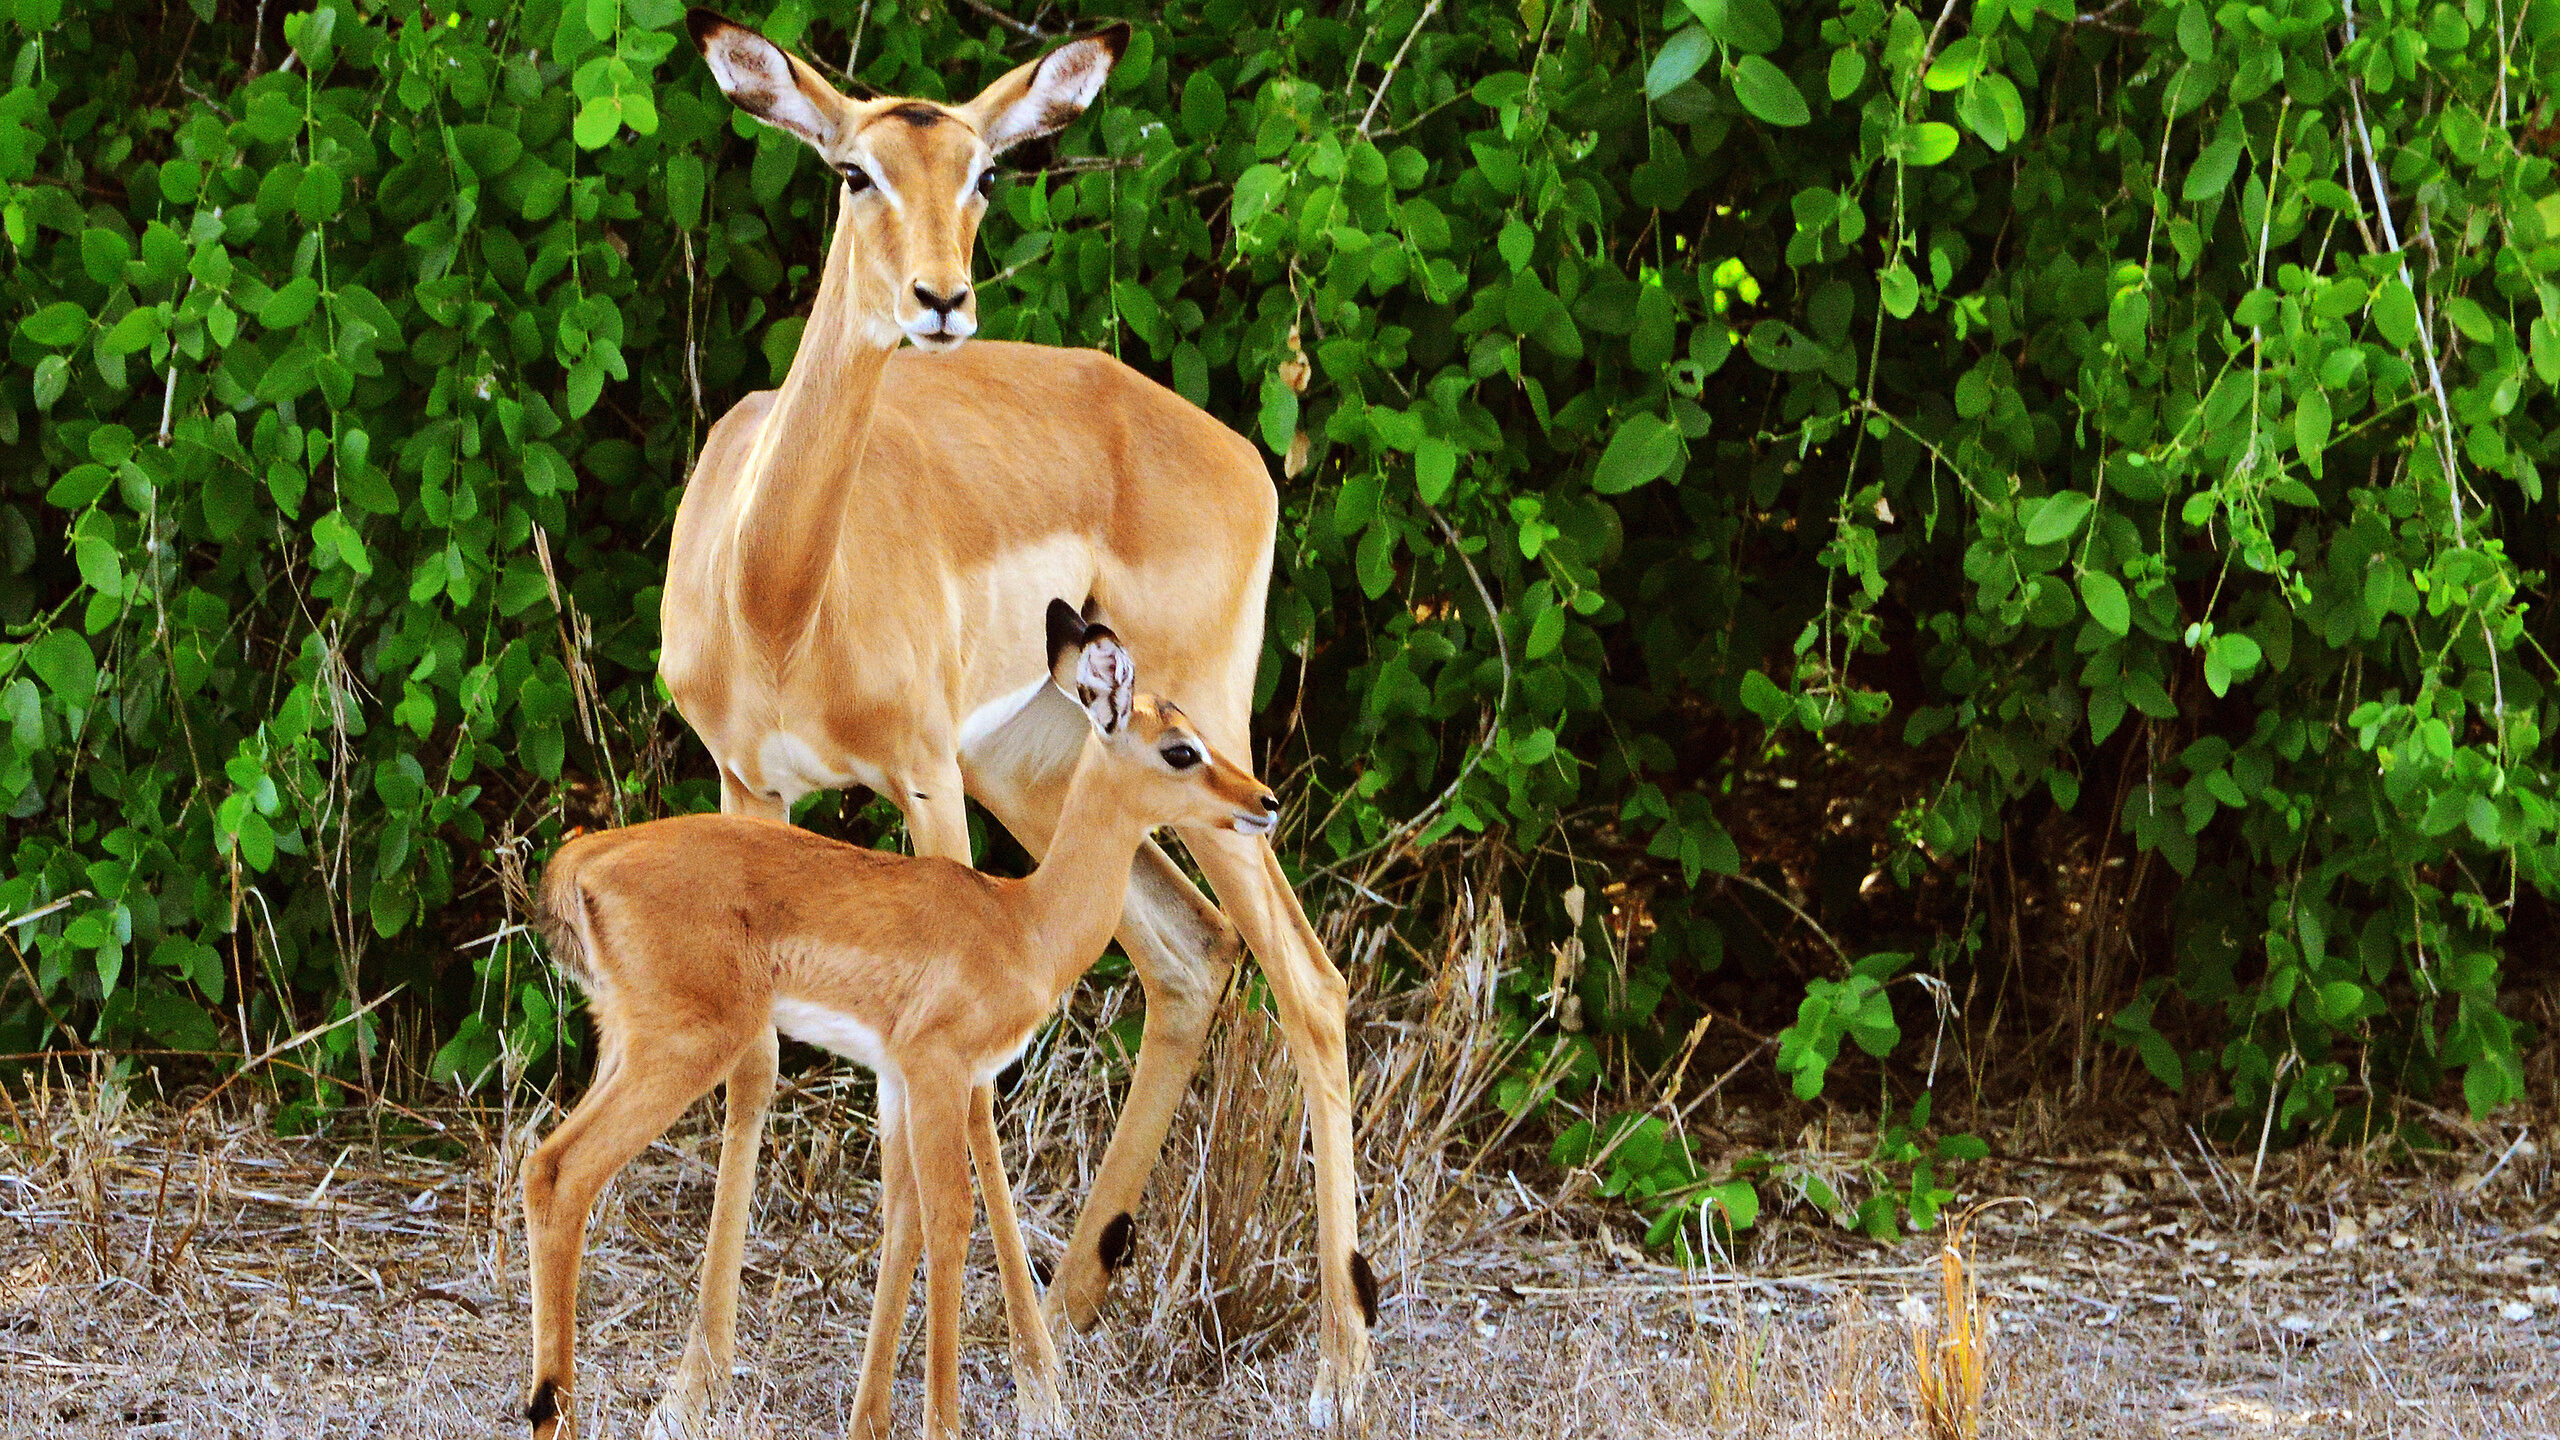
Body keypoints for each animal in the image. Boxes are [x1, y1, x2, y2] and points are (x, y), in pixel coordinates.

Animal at [524, 606, 1283, 1439]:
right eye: (1180, 750)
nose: (1264, 801)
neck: (1021, 923)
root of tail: (587, 860)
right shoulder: (939, 1068)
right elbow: (951, 1221)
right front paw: (944, 1420)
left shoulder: (895, 1080)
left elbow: (903, 1222)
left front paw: (872, 1420)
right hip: (684, 1046)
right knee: (563, 1171)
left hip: (627, 1044)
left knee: (540, 1168)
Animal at [660, 10, 1375, 1426]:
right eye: (852, 171)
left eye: (985, 171)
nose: (941, 303)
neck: (776, 596)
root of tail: (1231, 449)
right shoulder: (746, 783)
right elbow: (762, 1063)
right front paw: (693, 1382)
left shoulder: (924, 783)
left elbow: (959, 1100)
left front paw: (1029, 1391)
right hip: (1053, 763)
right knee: (1190, 953)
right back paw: (1077, 1295)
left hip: (1199, 754)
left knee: (1308, 982)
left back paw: (1335, 1376)